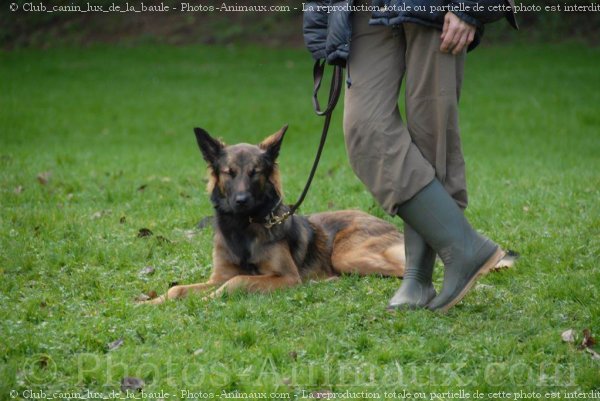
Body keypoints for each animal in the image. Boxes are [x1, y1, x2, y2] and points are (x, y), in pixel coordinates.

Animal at [144, 125, 408, 304]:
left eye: (255, 172)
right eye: (229, 172)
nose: (241, 201)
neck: (244, 227)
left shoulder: (287, 277)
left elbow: (237, 281)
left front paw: (206, 300)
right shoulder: (217, 277)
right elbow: (178, 289)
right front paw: (153, 302)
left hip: (347, 255)